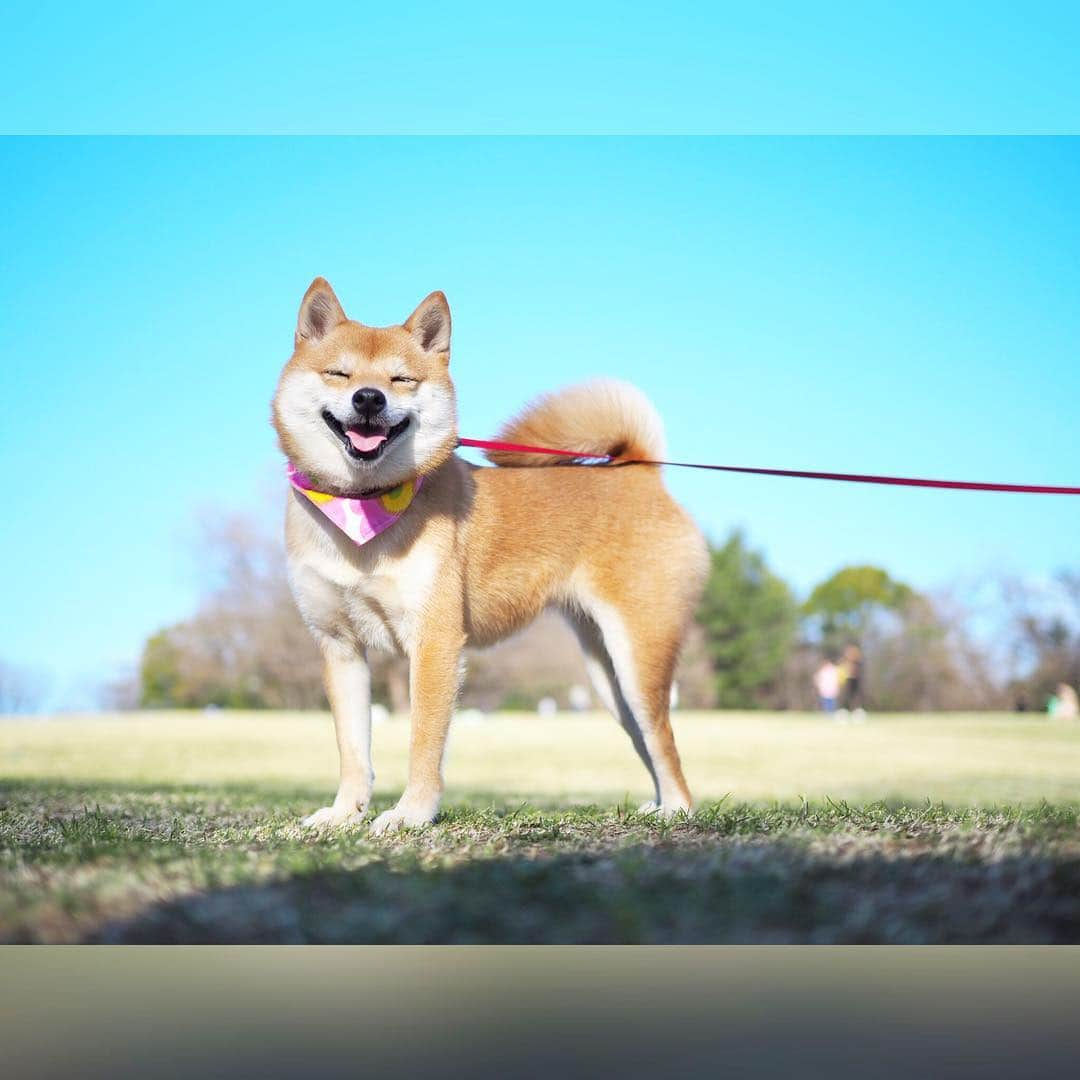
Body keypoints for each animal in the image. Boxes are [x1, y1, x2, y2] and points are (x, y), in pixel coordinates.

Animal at [270, 280, 708, 833]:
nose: (368, 397)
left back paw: (676, 811)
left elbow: (423, 742)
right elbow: (352, 750)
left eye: (401, 379)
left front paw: (410, 814)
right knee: (646, 740)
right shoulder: (339, 646)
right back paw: (654, 807)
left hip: (639, 657)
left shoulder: (434, 642)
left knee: (664, 740)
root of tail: (642, 473)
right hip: (606, 676)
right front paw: (343, 813)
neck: (362, 507)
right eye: (339, 373)